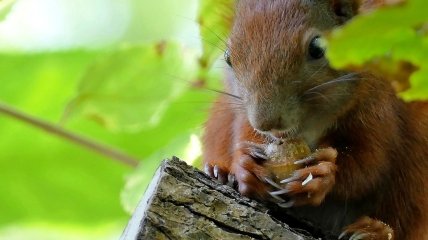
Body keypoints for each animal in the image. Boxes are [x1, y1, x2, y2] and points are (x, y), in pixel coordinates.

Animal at [202, 0, 428, 239]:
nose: (266, 123)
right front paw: (245, 166)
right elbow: (243, 132)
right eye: (228, 56)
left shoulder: (378, 106)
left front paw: (322, 173)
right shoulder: (241, 113)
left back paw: (376, 230)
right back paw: (220, 172)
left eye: (318, 48)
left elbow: (370, 162)